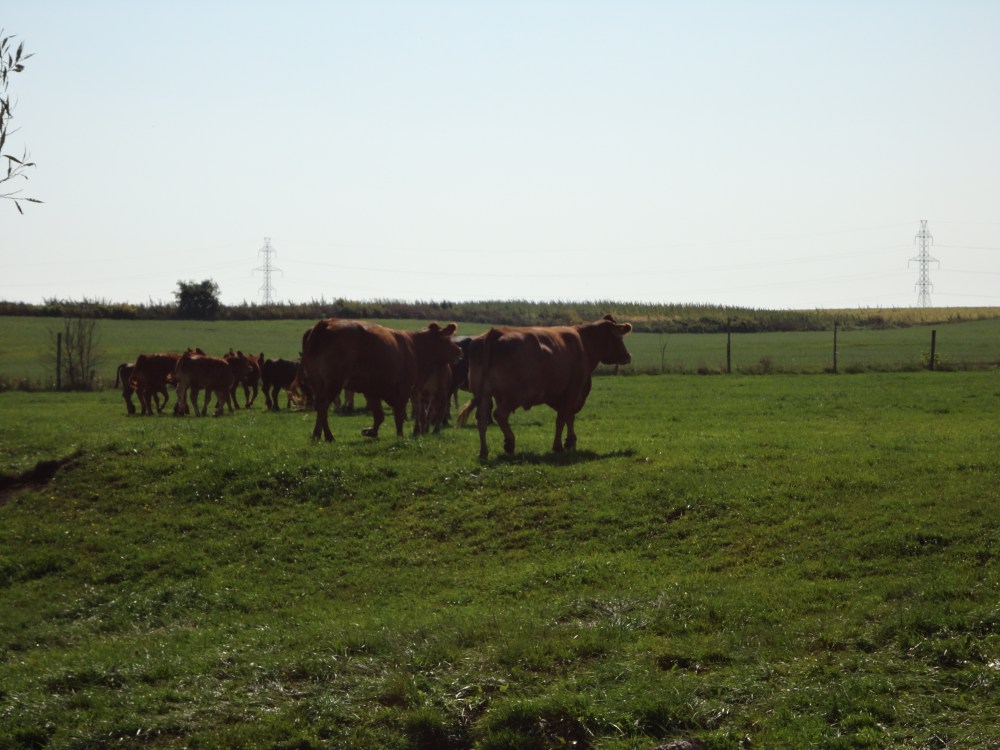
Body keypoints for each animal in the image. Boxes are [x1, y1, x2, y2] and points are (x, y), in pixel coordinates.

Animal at [300, 319, 461, 442]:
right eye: (448, 339)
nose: (459, 351)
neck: (415, 346)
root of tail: (327, 322)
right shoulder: (404, 389)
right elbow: (399, 415)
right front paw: (400, 437)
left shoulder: (371, 390)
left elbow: (379, 415)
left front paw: (371, 432)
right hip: (334, 382)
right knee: (323, 406)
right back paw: (325, 436)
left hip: (317, 382)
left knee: (321, 408)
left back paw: (321, 436)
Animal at [457, 314, 633, 459]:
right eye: (619, 338)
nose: (628, 356)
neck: (583, 342)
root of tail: (494, 333)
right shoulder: (573, 390)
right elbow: (563, 418)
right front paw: (562, 444)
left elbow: (568, 417)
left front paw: (570, 441)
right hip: (514, 395)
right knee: (499, 414)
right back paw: (510, 443)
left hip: (484, 394)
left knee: (482, 419)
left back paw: (484, 452)